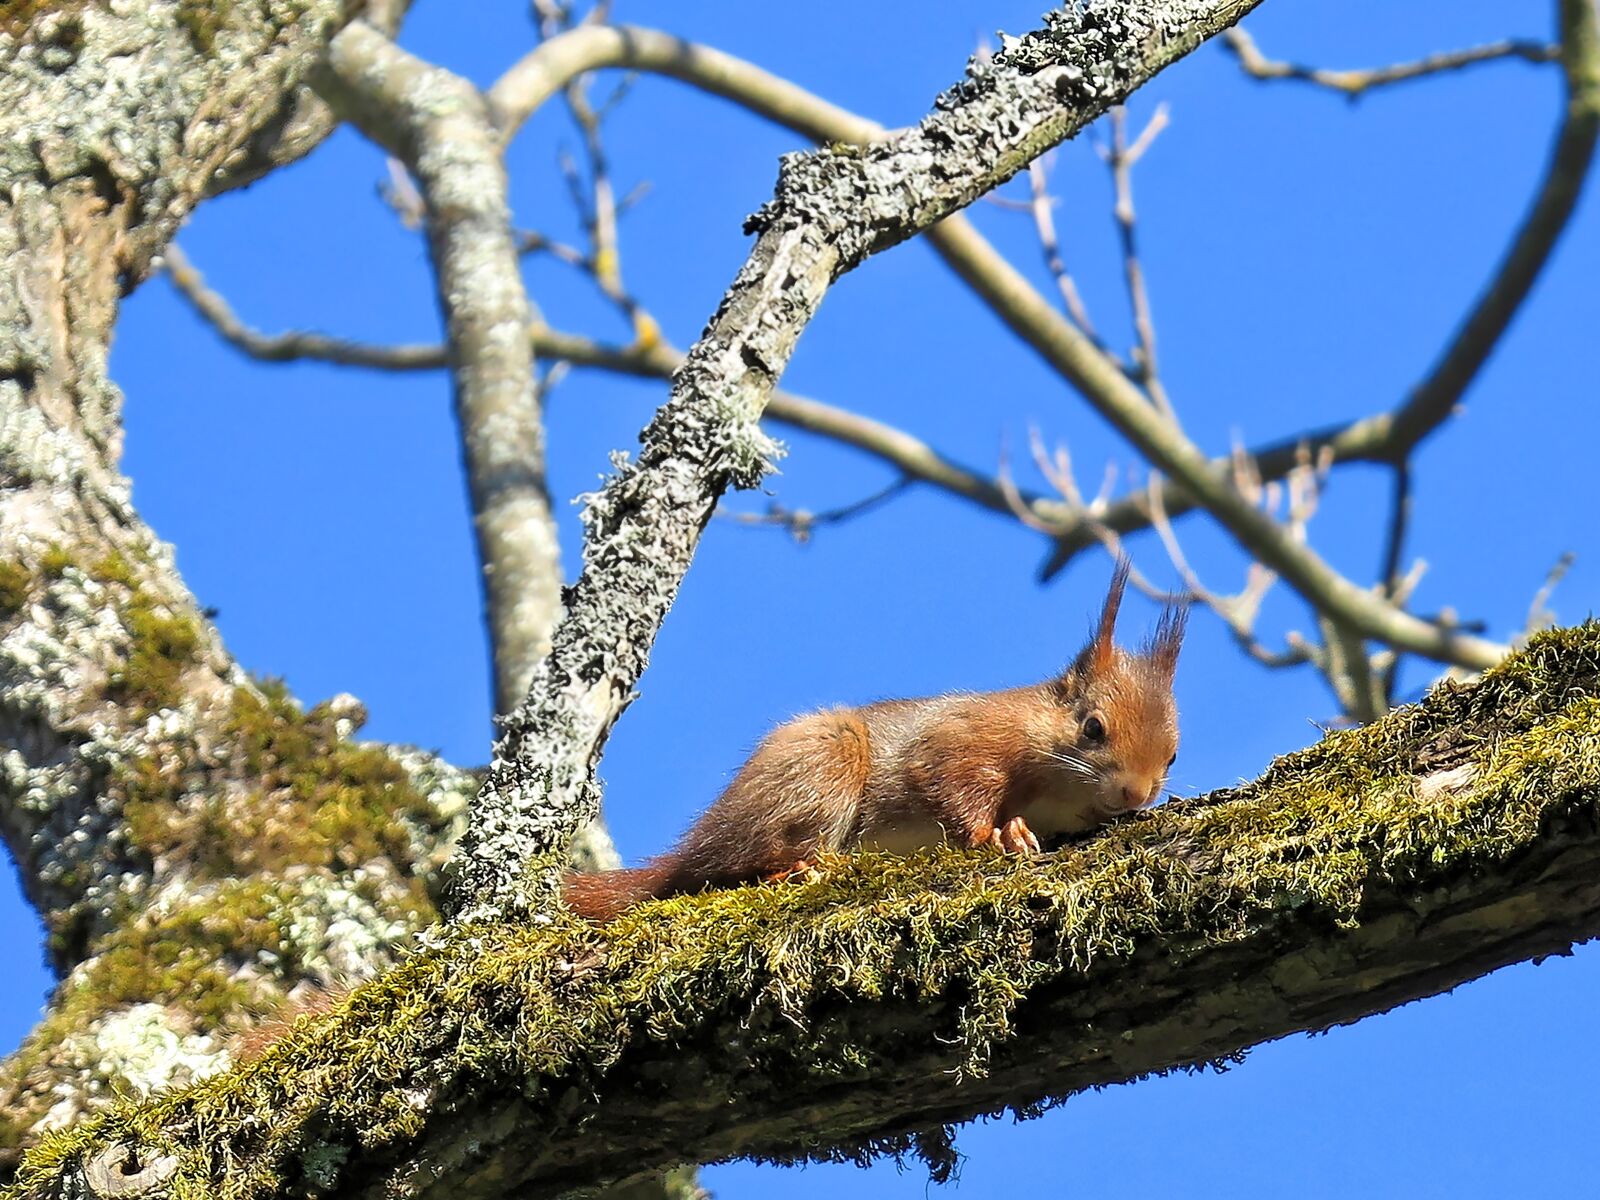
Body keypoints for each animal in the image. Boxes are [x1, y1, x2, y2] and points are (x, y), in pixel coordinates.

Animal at [563, 563, 1184, 922]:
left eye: (1173, 754)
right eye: (1093, 727)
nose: (1136, 794)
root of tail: (700, 842)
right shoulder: (966, 738)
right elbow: (950, 783)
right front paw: (999, 834)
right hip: (821, 767)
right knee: (738, 864)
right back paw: (798, 868)